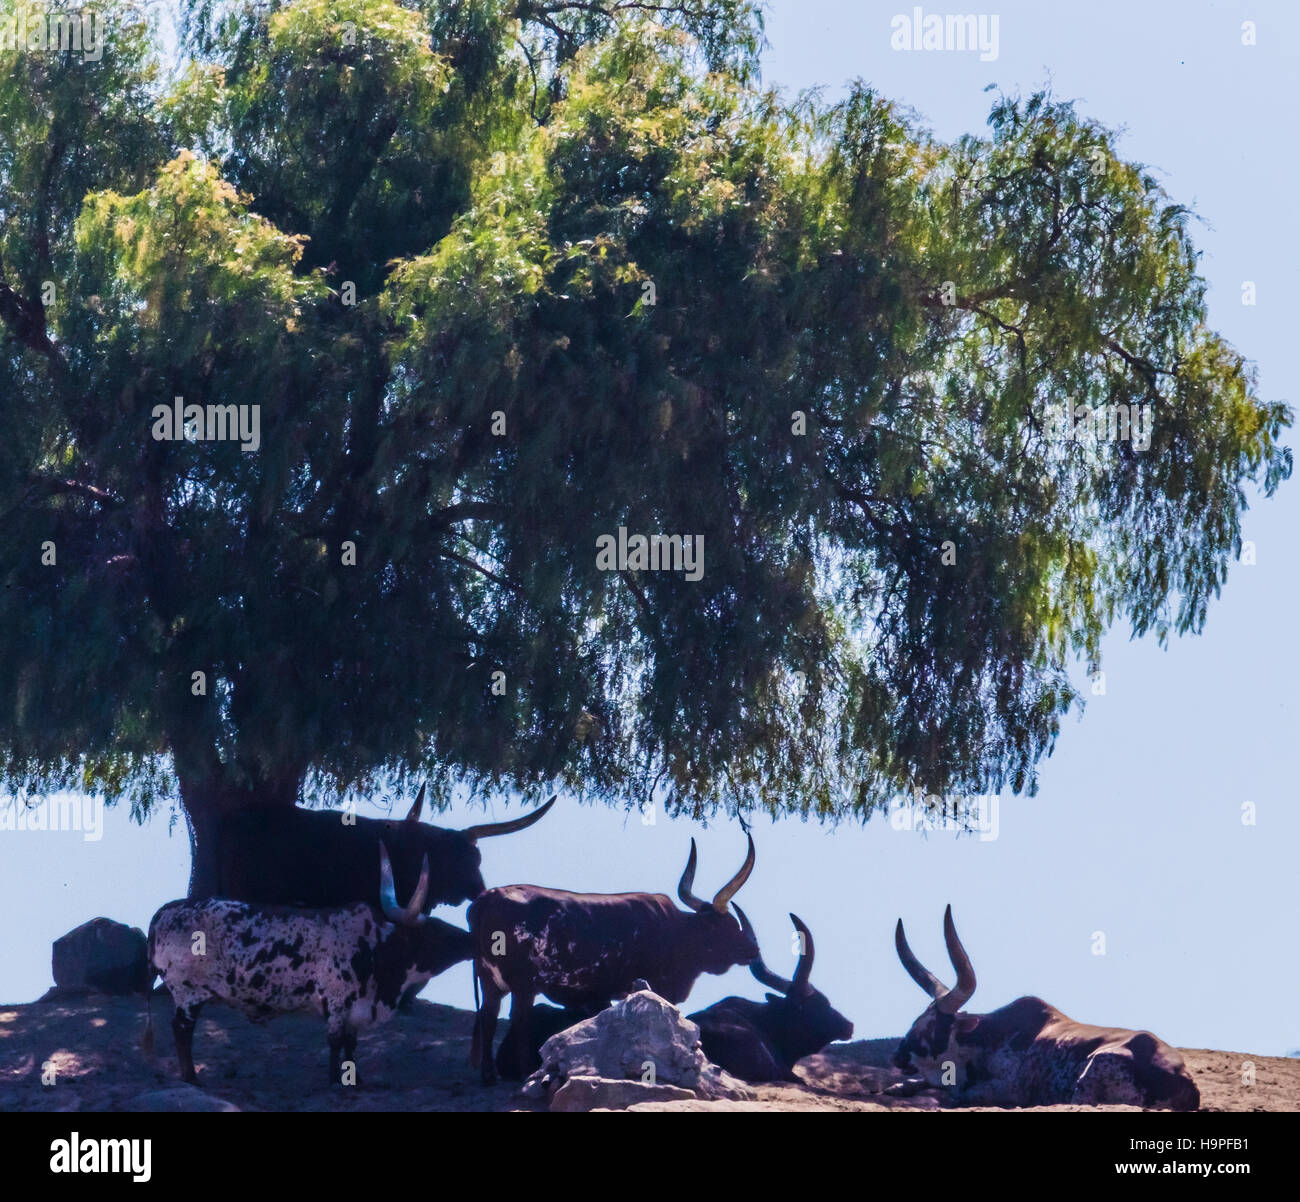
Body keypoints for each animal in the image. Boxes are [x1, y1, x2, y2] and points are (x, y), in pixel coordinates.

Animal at [473, 836, 759, 1081]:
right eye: (731, 927)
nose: (753, 950)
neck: (676, 931)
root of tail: (487, 898)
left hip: (489, 980)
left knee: (488, 1016)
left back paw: (488, 1075)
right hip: (524, 984)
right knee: (519, 1020)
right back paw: (523, 1072)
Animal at [894, 904, 1196, 1112]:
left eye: (930, 1026)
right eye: (916, 1020)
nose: (898, 1057)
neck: (985, 1041)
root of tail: (1185, 1081)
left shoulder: (1003, 1091)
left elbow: (955, 1095)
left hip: (1093, 1071)